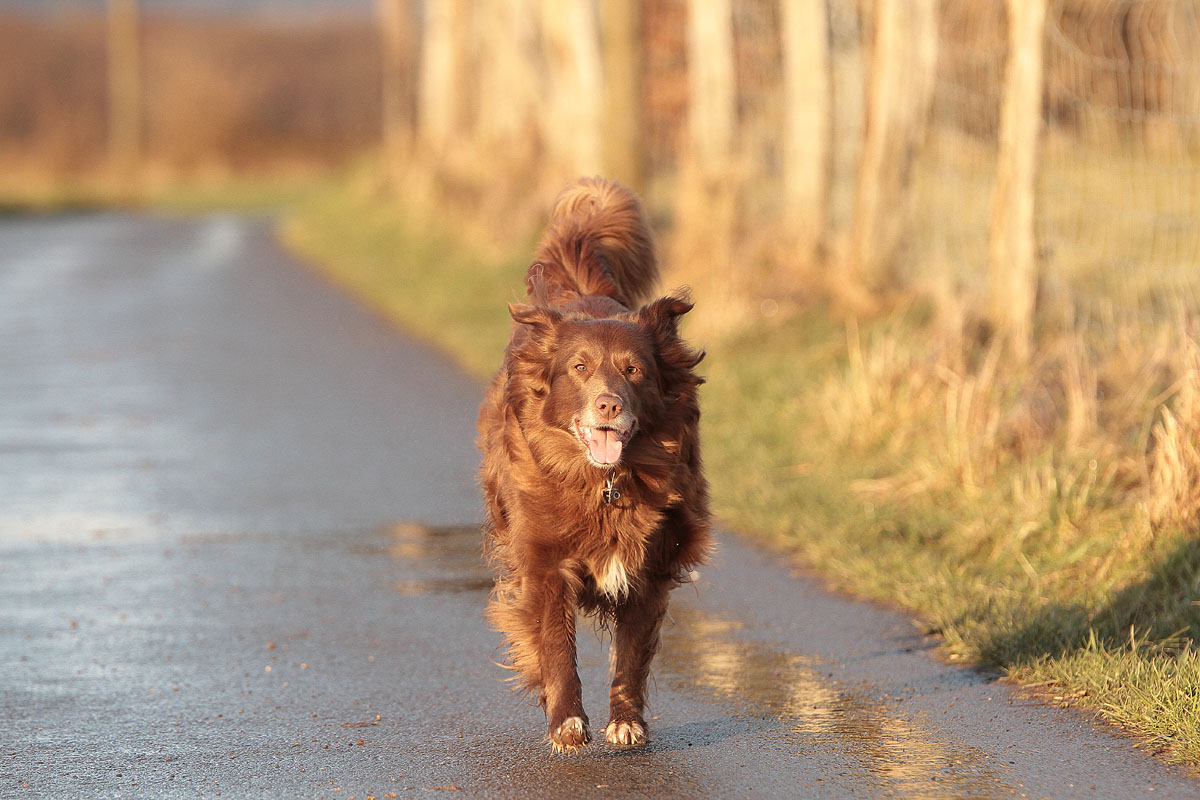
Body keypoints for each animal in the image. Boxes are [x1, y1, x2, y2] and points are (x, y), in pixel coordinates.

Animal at [475, 175, 705, 753]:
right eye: (579, 368)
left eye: (635, 370)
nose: (608, 405)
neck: (605, 482)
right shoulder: (543, 558)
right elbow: (555, 643)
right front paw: (565, 721)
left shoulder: (651, 562)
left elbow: (632, 652)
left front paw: (625, 722)